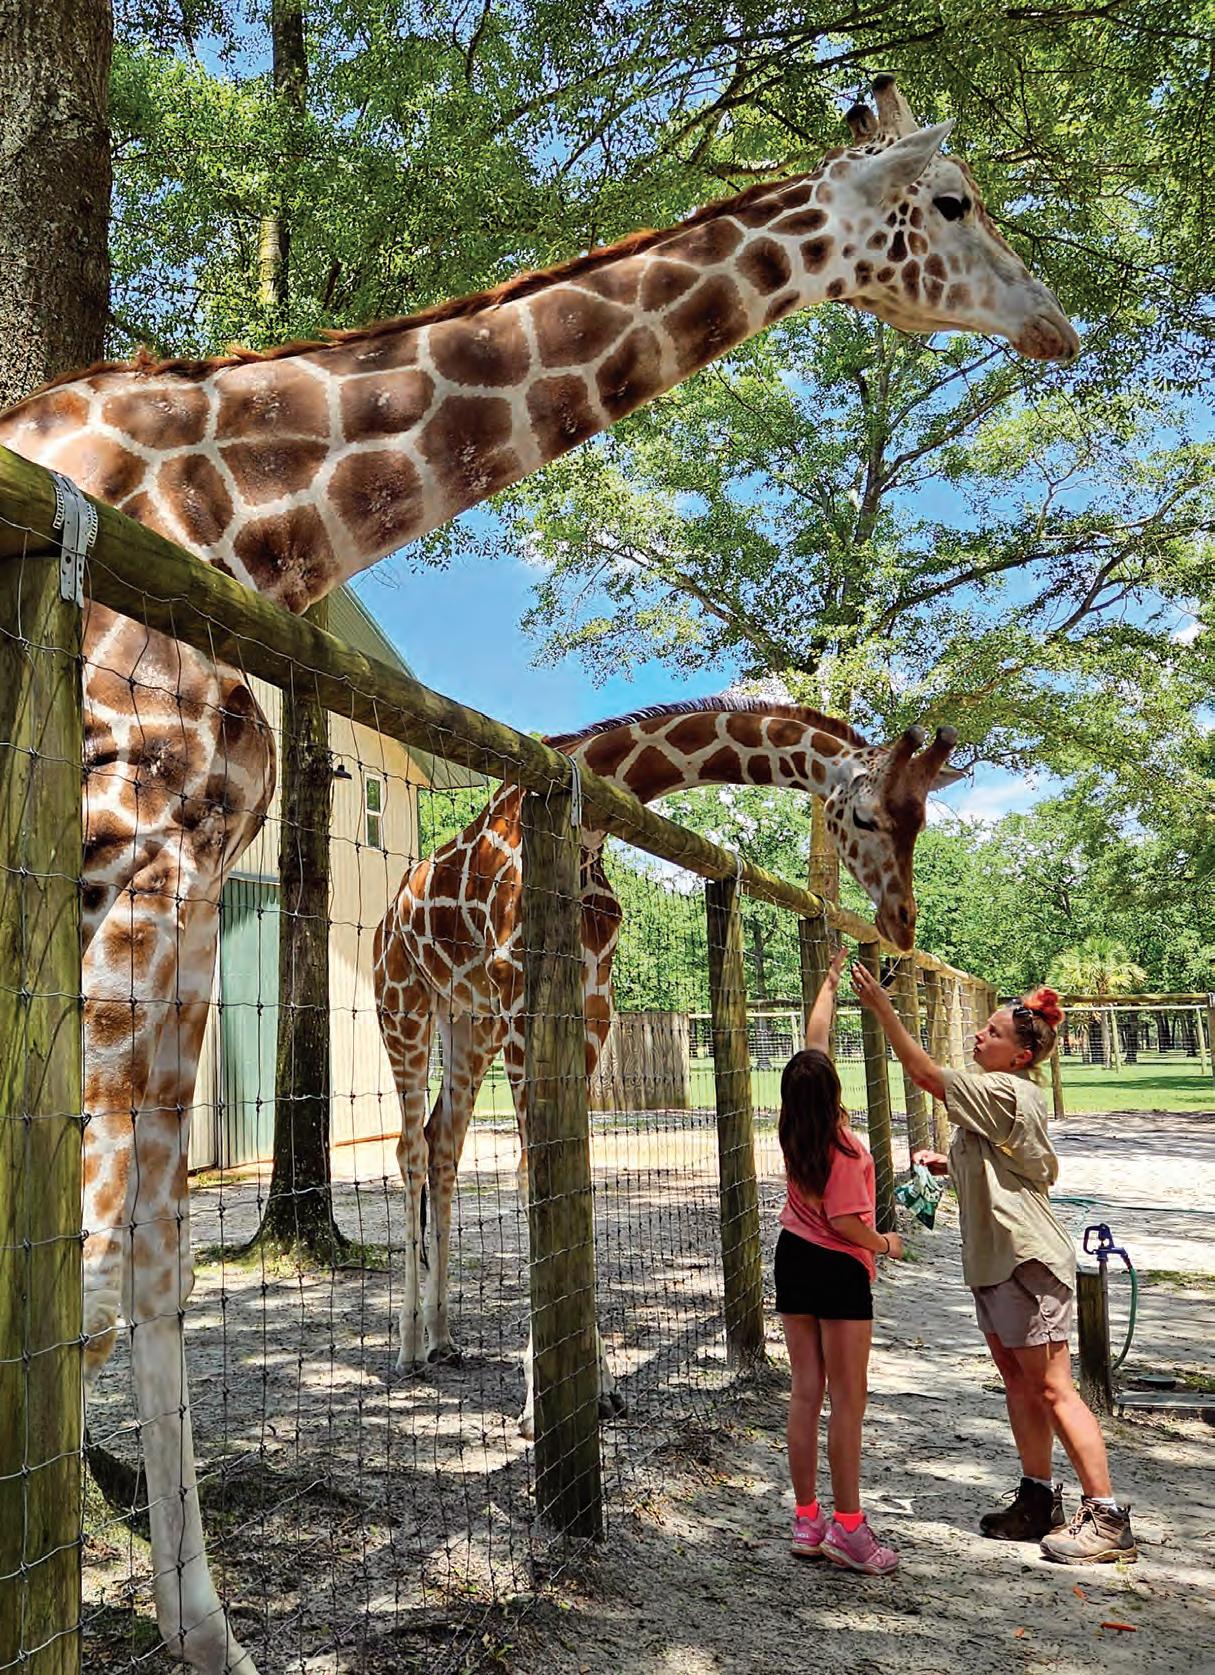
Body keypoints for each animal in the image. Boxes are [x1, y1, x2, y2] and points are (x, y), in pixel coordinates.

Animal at [374, 697, 960, 1434]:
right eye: (863, 817)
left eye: (920, 819)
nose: (902, 921)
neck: (588, 833)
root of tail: (387, 915)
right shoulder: (521, 998)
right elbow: (537, 1172)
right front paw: (541, 1407)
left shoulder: (593, 1001)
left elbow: (574, 1173)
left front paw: (598, 1390)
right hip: (403, 1004)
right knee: (409, 1149)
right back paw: (405, 1348)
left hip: (466, 1020)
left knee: (442, 1143)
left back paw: (443, 1336)